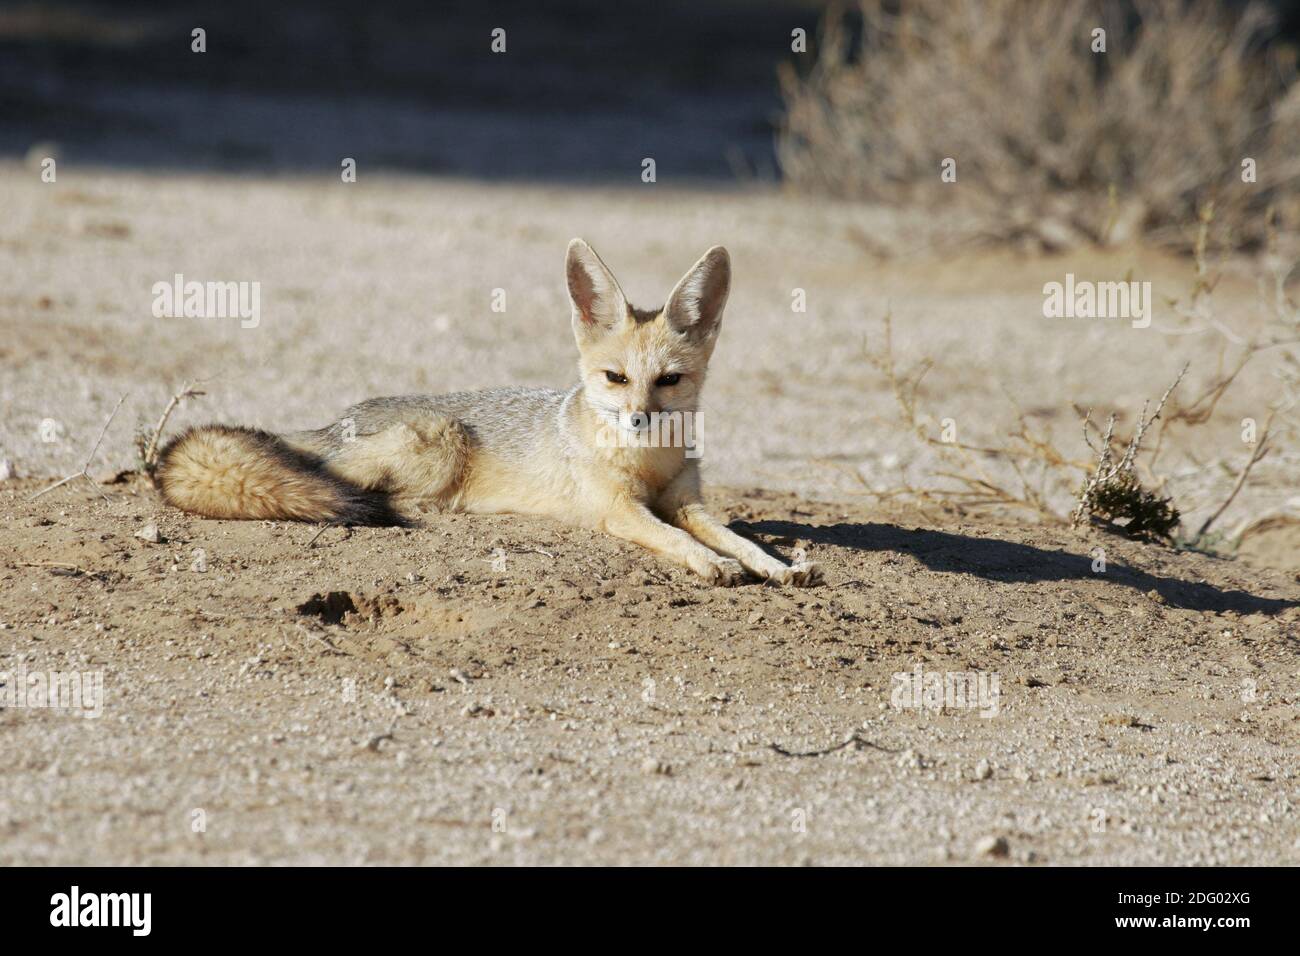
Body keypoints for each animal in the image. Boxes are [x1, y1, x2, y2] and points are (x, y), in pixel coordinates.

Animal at [156, 239, 821, 586]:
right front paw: (710, 563)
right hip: (440, 441)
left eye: (669, 381)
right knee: (340, 484)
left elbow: (736, 536)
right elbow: (672, 538)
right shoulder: (619, 510)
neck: (647, 463)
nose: (638, 419)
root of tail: (338, 416)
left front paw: (776, 564)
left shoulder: (690, 503)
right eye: (617, 378)